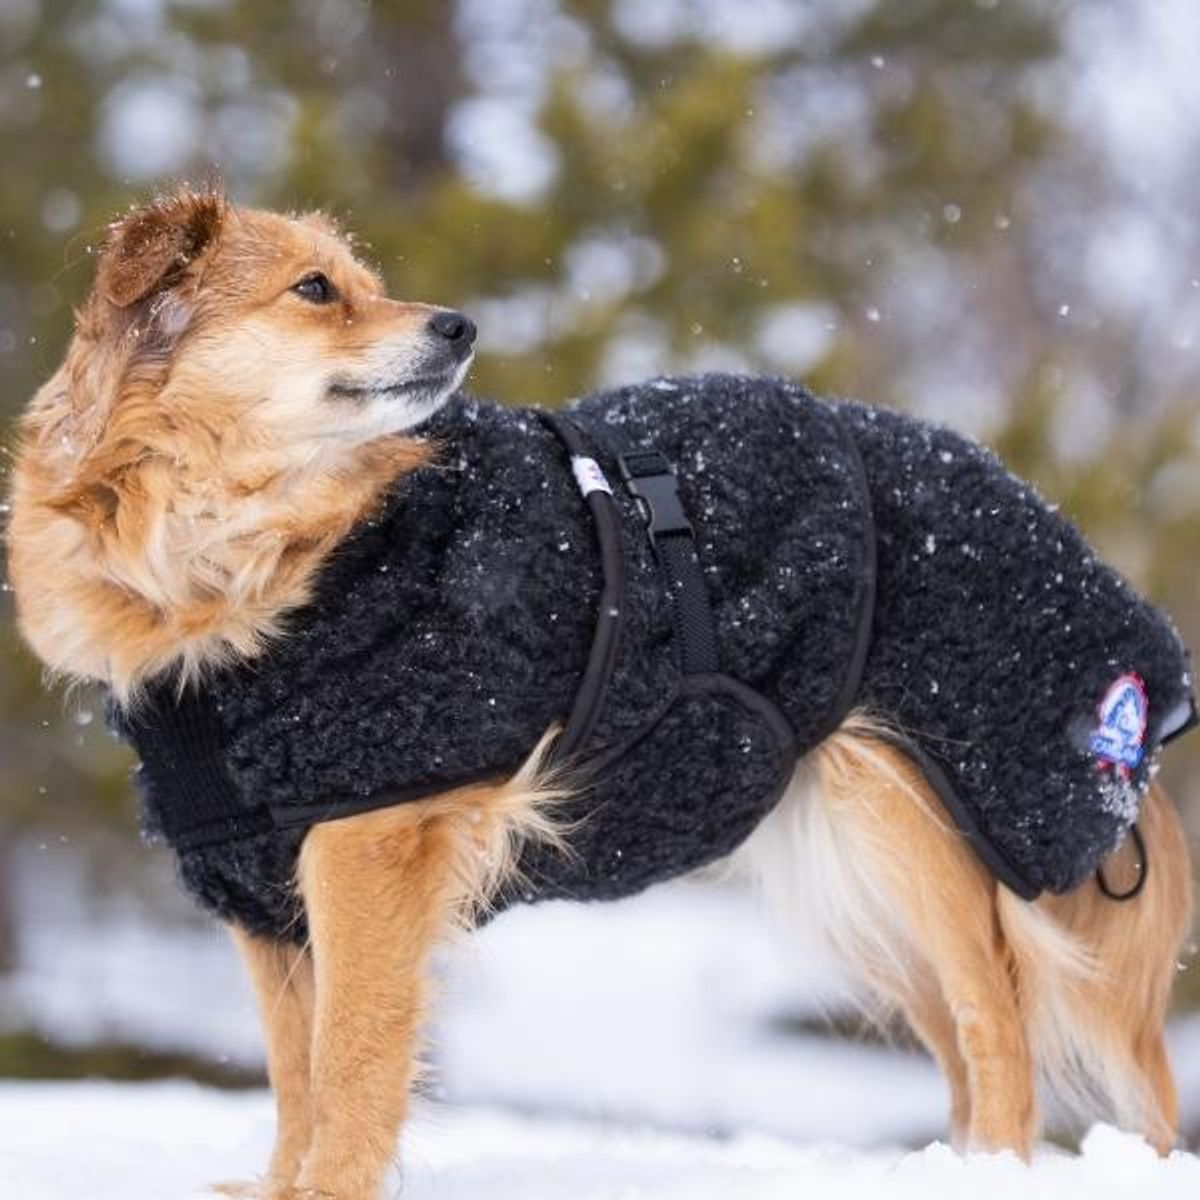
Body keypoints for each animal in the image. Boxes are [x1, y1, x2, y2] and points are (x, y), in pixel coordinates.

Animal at [4, 187, 1195, 1200]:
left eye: (358, 281)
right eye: (314, 290)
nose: (459, 327)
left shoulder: (366, 842)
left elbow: (350, 1062)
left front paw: (331, 1187)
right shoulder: (265, 883)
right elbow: (297, 1077)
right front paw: (287, 1184)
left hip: (915, 815)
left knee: (998, 1021)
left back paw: (993, 1169)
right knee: (960, 1029)